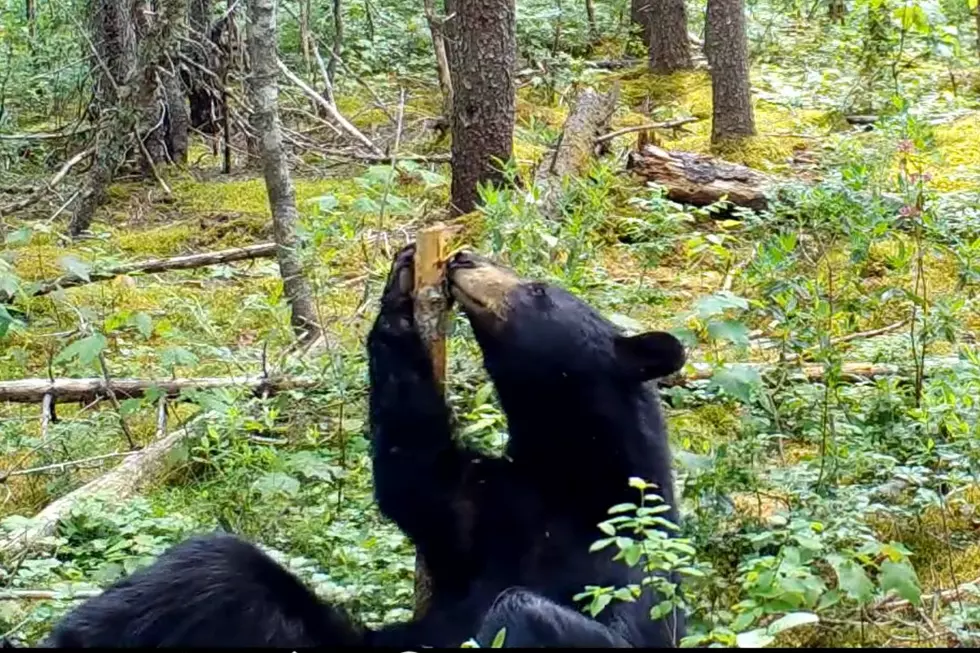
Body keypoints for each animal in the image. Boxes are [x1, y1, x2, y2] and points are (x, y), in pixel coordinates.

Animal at [40, 246, 688, 648]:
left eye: (538, 289)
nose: (466, 257)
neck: (571, 483)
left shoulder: (636, 574)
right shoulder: (489, 504)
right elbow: (418, 475)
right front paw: (398, 293)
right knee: (208, 567)